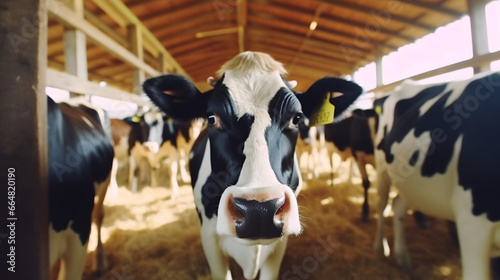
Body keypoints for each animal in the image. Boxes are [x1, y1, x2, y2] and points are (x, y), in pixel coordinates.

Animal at [374, 70, 500, 280]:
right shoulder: (472, 222)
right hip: (382, 169)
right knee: (382, 205)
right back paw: (380, 248)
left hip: (412, 184)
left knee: (398, 204)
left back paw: (403, 258)